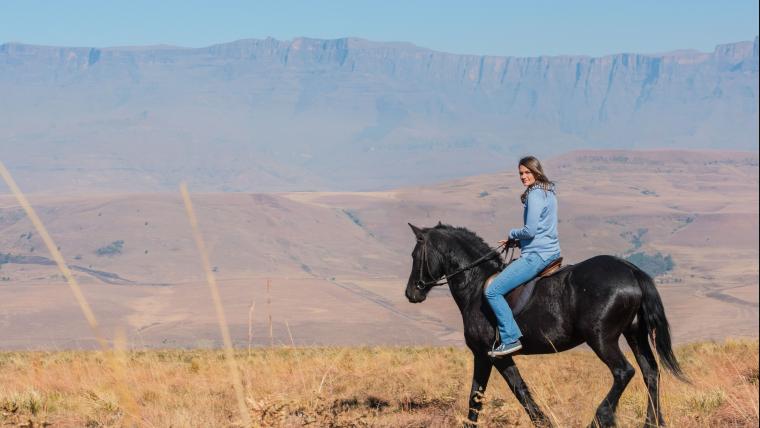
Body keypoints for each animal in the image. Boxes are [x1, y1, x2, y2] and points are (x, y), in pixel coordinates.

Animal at [406, 222, 684, 426]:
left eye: (415, 255)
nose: (411, 293)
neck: (475, 286)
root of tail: (631, 270)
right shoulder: (492, 356)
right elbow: (494, 393)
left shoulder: (489, 354)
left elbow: (500, 393)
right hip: (634, 334)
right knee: (651, 373)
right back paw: (653, 423)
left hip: (601, 338)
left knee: (624, 372)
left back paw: (601, 418)